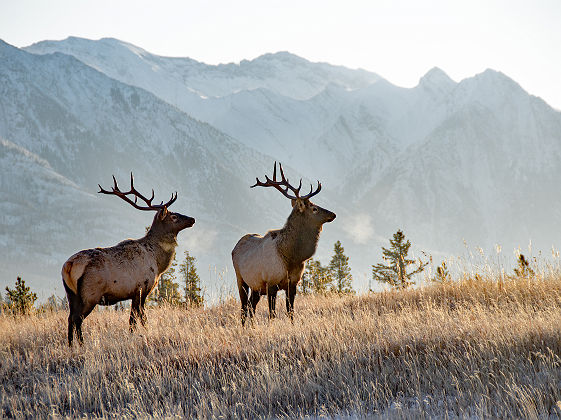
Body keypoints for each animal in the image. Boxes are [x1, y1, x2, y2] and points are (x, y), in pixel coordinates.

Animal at [61, 173, 195, 344]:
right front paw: (142, 334)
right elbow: (139, 319)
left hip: (71, 295)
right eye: (174, 216)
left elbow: (134, 319)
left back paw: (72, 345)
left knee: (70, 318)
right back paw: (82, 344)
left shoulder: (134, 293)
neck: (158, 263)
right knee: (78, 319)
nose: (192, 219)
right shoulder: (142, 288)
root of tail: (69, 265)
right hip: (90, 294)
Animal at [231, 162, 334, 324]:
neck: (291, 257)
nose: (333, 214)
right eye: (314, 208)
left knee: (251, 306)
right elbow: (272, 314)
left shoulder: (293, 283)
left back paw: (252, 326)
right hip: (241, 279)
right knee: (243, 307)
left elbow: (290, 311)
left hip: (256, 286)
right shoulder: (271, 283)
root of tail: (234, 248)